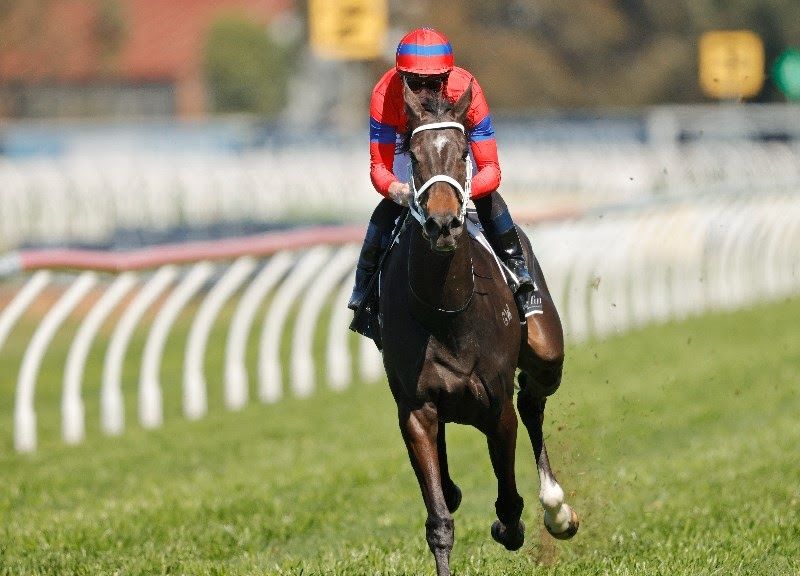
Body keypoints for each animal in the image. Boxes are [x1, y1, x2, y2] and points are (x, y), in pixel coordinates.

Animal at [378, 81, 580, 576]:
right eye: (414, 156)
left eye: (464, 150)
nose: (444, 223)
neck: (447, 310)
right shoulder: (416, 409)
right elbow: (440, 519)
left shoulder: (495, 404)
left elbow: (508, 504)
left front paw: (516, 526)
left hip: (546, 350)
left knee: (532, 402)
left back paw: (557, 509)